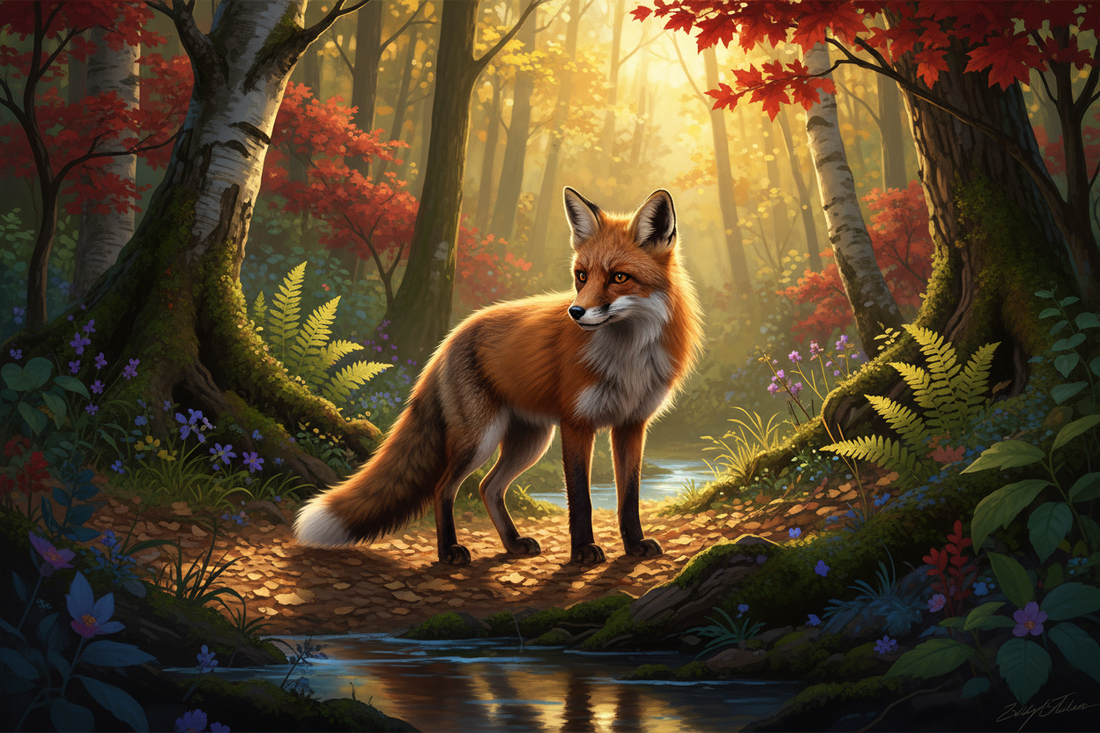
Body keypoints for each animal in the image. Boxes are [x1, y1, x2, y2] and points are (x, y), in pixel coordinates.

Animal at [294, 187, 703, 566]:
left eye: (619, 277)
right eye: (582, 276)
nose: (575, 312)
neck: (627, 358)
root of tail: (451, 337)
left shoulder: (632, 425)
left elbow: (629, 496)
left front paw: (634, 545)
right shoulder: (577, 424)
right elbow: (581, 499)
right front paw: (583, 550)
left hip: (530, 440)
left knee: (488, 487)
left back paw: (512, 543)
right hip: (482, 438)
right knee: (444, 488)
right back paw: (449, 551)